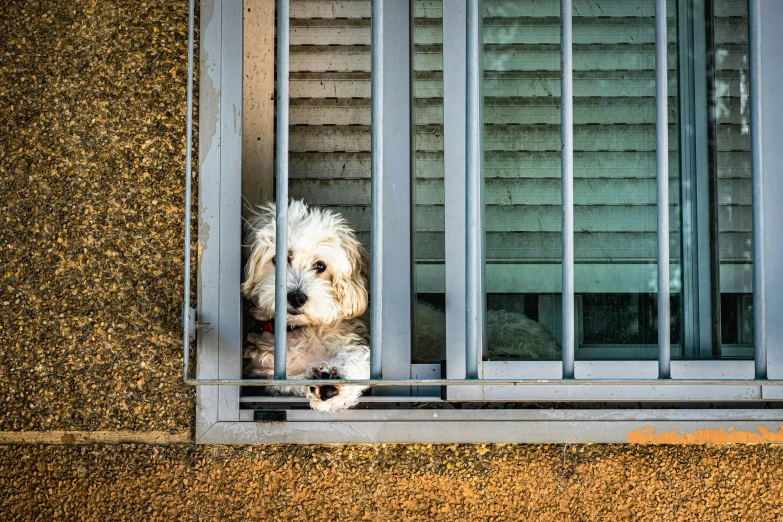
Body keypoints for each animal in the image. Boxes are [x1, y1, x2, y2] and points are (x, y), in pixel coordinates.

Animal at [242, 199, 560, 410]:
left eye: (320, 266)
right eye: (280, 258)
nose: (296, 296)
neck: (301, 331)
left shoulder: (361, 347)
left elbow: (359, 362)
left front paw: (335, 383)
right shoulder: (267, 375)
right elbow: (285, 380)